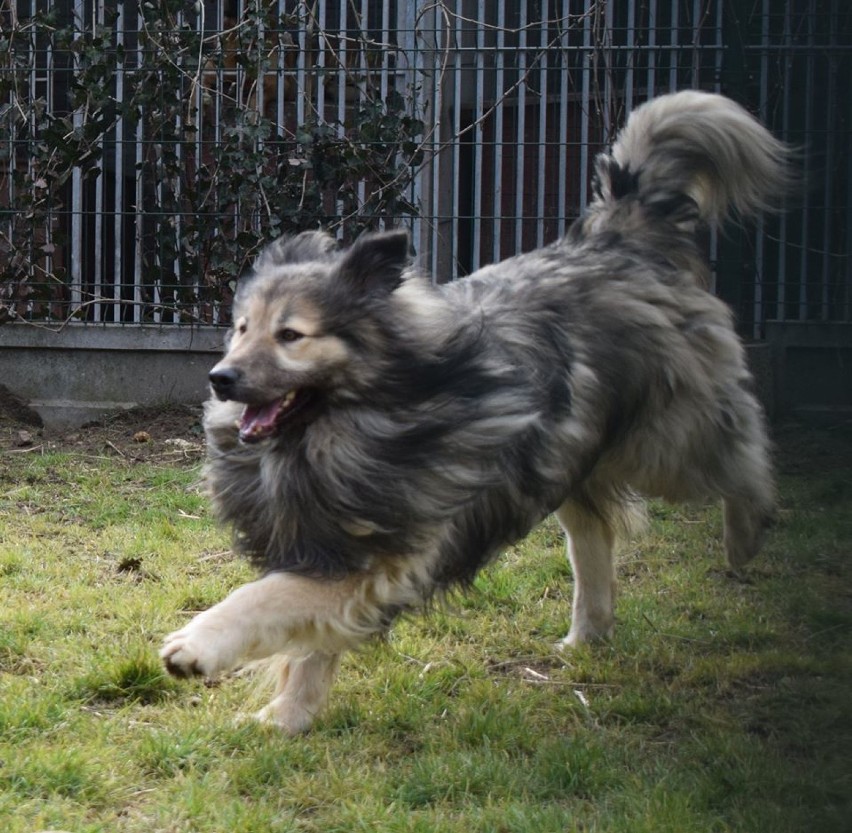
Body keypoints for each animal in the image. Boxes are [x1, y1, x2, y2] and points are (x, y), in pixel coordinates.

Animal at [161, 88, 792, 732]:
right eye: (242, 328)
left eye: (290, 335)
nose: (220, 378)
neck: (349, 429)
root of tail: (619, 235)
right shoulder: (333, 548)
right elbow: (308, 646)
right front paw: (289, 715)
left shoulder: (379, 559)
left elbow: (268, 598)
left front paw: (198, 645)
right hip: (569, 461)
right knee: (593, 538)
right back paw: (587, 635)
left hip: (664, 437)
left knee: (739, 452)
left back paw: (747, 532)